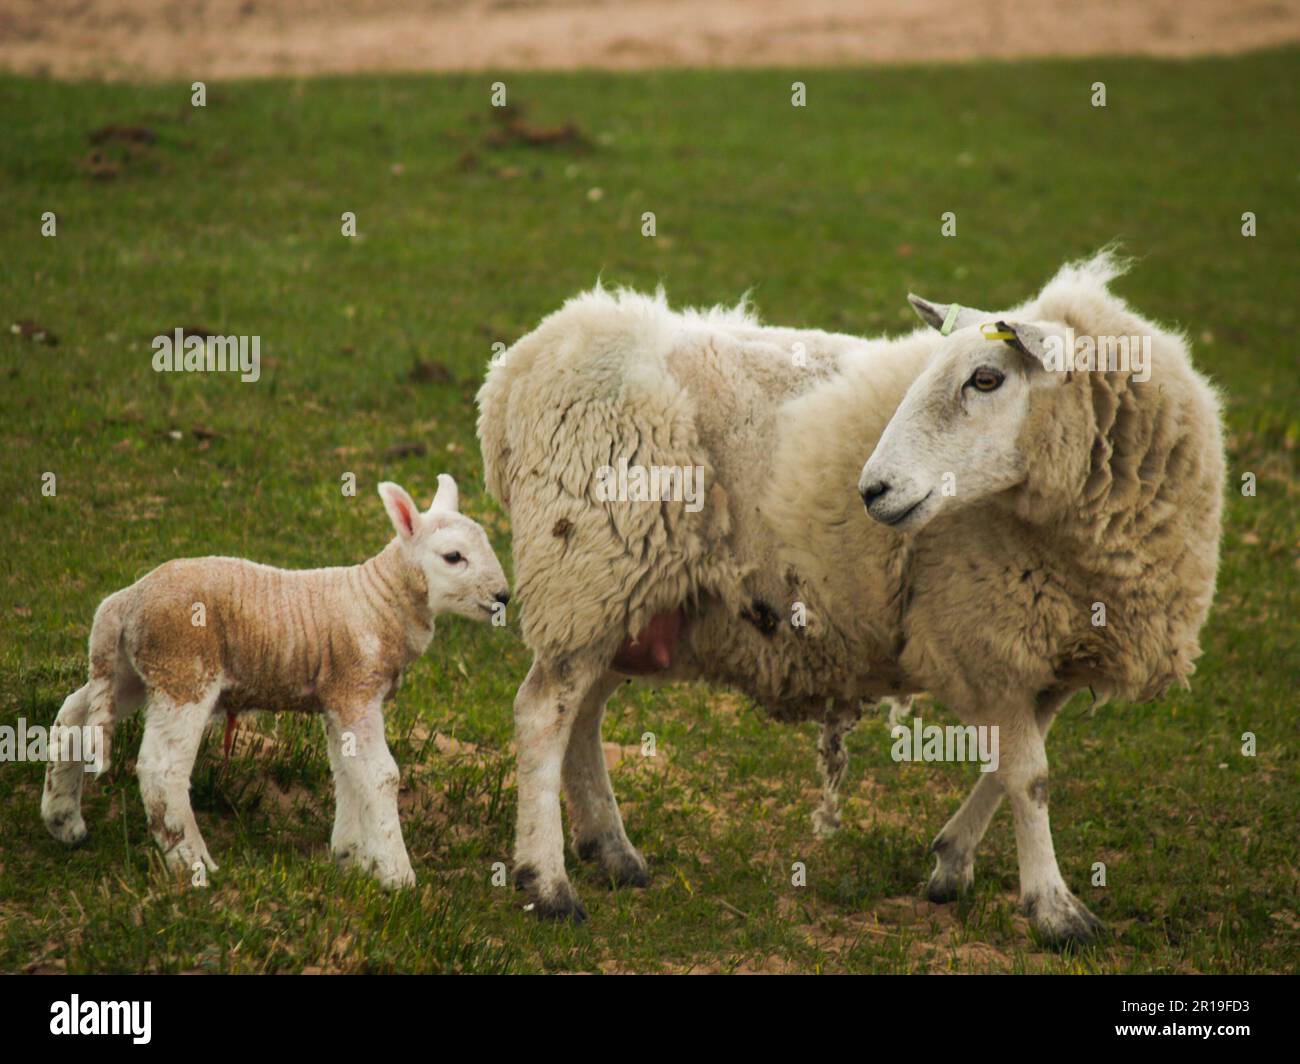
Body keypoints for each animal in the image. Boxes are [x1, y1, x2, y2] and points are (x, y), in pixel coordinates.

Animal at [41, 475, 510, 888]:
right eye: (453, 557)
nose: (503, 597)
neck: (379, 599)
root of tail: (125, 599)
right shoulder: (355, 691)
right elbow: (381, 776)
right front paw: (397, 877)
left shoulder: (338, 698)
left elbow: (348, 772)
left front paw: (351, 858)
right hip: (184, 671)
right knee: (161, 767)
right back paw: (193, 863)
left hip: (133, 670)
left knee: (73, 713)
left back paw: (63, 819)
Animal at [476, 251, 1225, 943]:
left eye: (987, 378)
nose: (872, 490)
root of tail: (515, 374)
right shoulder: (989, 636)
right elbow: (1029, 777)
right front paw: (1055, 908)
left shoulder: (1054, 648)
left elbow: (1012, 763)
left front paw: (952, 861)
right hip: (591, 565)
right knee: (542, 714)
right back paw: (549, 883)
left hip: (626, 596)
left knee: (582, 714)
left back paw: (612, 851)